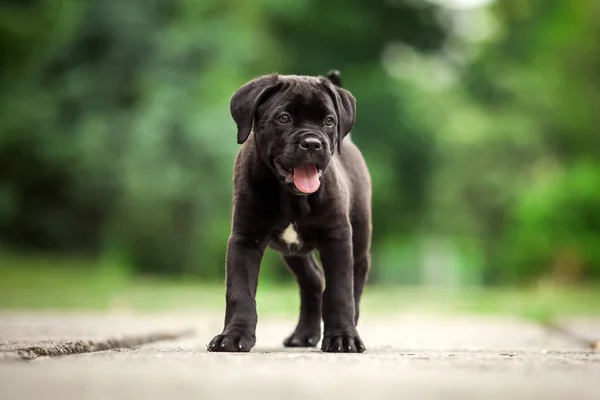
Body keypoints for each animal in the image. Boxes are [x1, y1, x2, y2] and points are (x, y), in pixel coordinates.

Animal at [209, 70, 372, 352]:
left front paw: (342, 337)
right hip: (293, 252)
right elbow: (240, 291)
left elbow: (340, 292)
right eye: (283, 118)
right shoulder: (244, 239)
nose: (312, 143)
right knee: (313, 280)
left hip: (358, 239)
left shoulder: (337, 238)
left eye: (329, 121)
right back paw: (303, 334)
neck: (291, 197)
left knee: (355, 280)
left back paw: (348, 327)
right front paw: (234, 336)